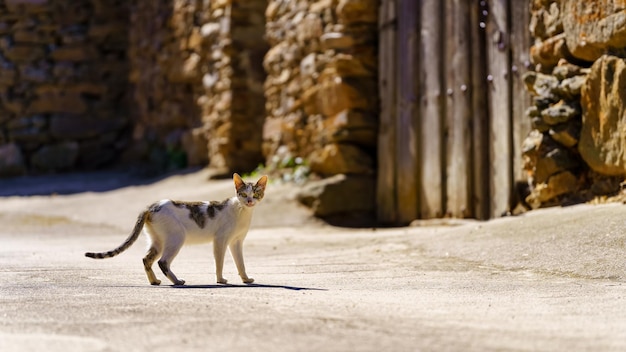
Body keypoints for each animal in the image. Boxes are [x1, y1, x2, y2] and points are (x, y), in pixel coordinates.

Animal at [84, 173, 266, 286]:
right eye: (243, 194)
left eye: (256, 194)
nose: (249, 201)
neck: (242, 212)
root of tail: (151, 206)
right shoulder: (220, 240)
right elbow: (219, 262)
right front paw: (220, 280)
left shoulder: (236, 242)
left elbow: (240, 263)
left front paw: (246, 279)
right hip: (177, 238)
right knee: (162, 262)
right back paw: (177, 282)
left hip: (158, 241)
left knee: (146, 259)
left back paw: (154, 281)